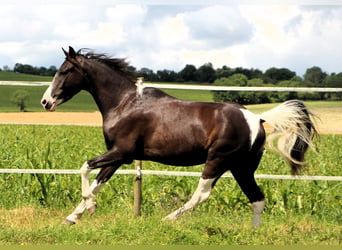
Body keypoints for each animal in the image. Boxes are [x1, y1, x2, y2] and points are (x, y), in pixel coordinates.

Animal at [41, 46, 316, 227]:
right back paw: (253, 233)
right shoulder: (118, 157)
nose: (46, 102)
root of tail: (257, 119)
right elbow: (98, 182)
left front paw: (89, 207)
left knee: (202, 194)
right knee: (257, 199)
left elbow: (85, 167)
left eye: (65, 71)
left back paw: (168, 219)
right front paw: (73, 217)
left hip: (217, 161)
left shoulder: (121, 152)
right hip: (241, 168)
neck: (124, 103)